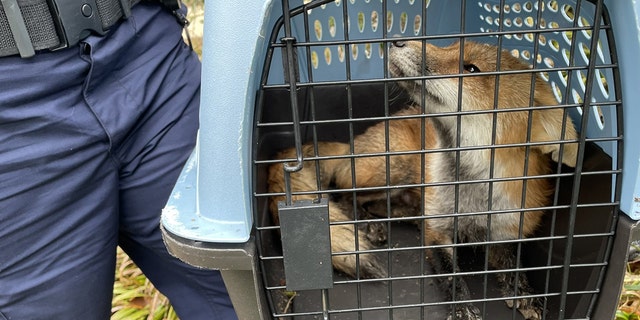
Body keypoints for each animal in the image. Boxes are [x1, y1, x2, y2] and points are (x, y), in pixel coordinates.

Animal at [268, 40, 576, 320]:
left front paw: (526, 295)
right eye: (450, 46)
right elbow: (451, 275)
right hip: (393, 166)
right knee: (344, 194)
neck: (471, 196)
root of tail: (352, 144)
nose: (397, 40)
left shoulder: (506, 229)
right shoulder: (438, 231)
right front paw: (462, 308)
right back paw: (368, 224)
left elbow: (516, 266)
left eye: (471, 68)